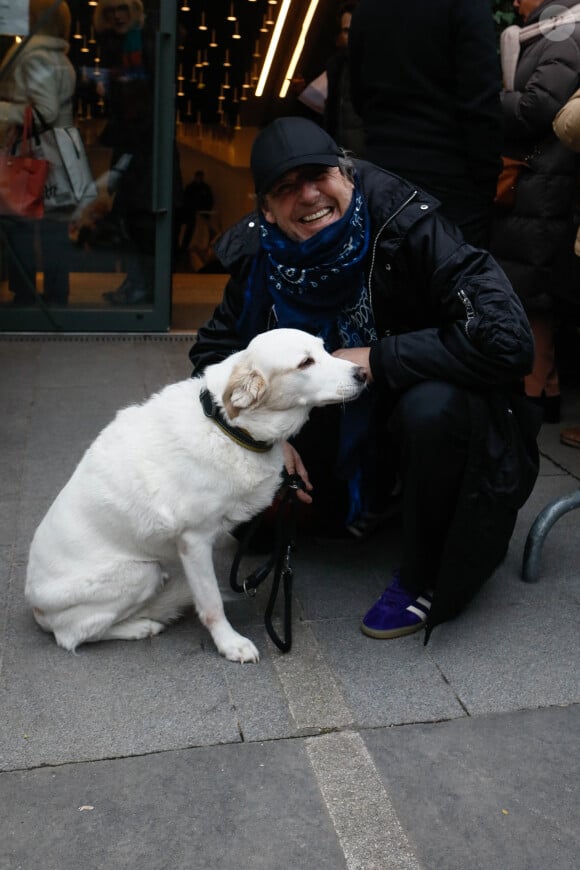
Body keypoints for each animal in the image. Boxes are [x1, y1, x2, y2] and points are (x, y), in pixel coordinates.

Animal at [26, 330, 368, 664]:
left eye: (323, 349)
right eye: (305, 363)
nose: (363, 372)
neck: (227, 426)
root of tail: (36, 609)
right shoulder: (195, 541)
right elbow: (212, 602)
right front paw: (230, 643)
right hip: (140, 572)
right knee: (74, 635)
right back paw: (139, 626)